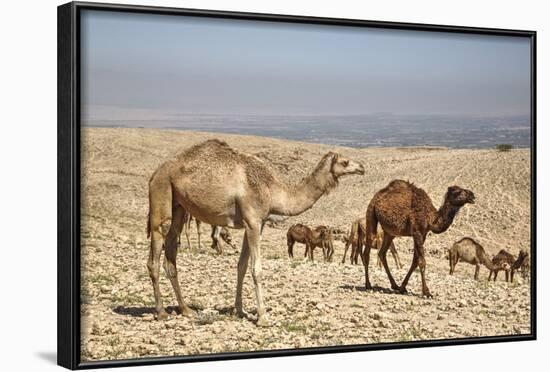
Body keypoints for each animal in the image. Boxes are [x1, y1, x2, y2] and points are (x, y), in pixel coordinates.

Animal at [146, 140, 366, 326]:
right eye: (345, 162)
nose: (362, 167)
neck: (272, 190)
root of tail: (155, 172)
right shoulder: (252, 220)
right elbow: (256, 269)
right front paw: (262, 316)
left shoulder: (255, 224)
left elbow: (242, 266)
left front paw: (240, 310)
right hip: (161, 190)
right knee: (157, 245)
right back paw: (161, 312)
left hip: (179, 205)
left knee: (171, 251)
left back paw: (186, 309)